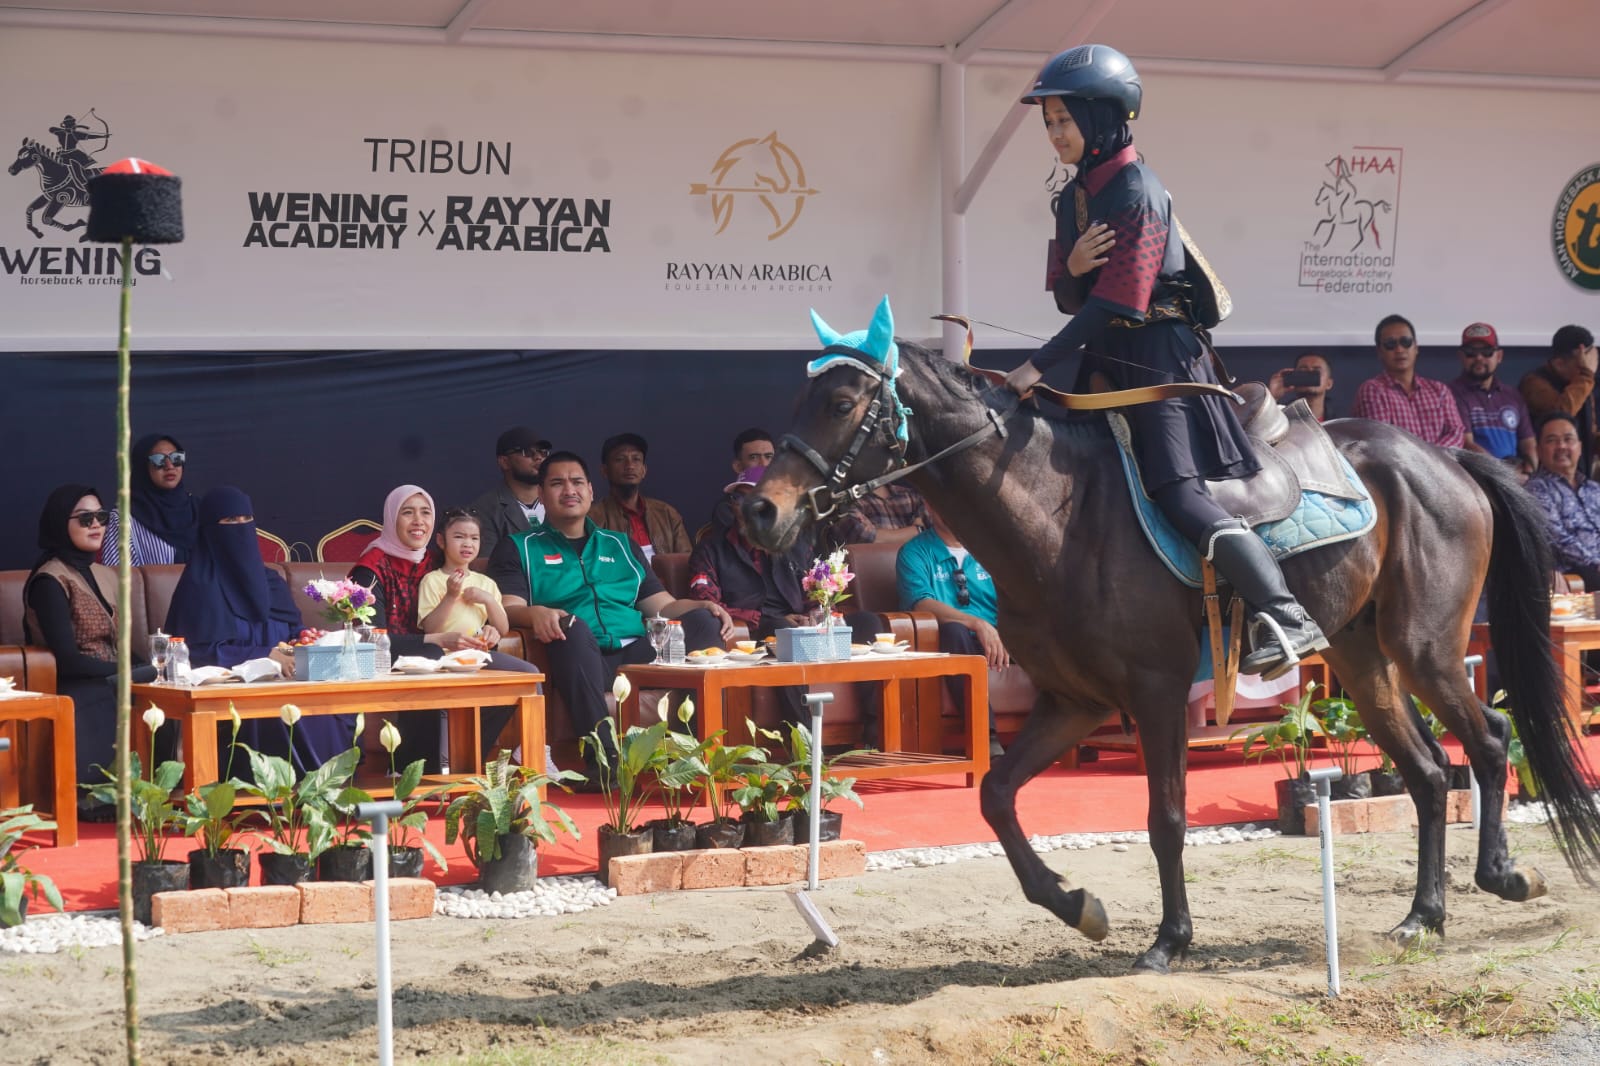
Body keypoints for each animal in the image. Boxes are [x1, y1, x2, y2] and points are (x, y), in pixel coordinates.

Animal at [742, 307, 1600, 973]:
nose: (761, 511)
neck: (1058, 513)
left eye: (842, 400)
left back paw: (1503, 876)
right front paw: (1077, 905)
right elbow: (995, 795)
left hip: (1423, 647)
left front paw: (1170, 939)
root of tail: (1443, 455)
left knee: (1486, 739)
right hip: (1361, 657)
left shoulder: (1153, 693)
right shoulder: (1075, 701)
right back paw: (1423, 916)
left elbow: (1166, 817)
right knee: (1425, 772)